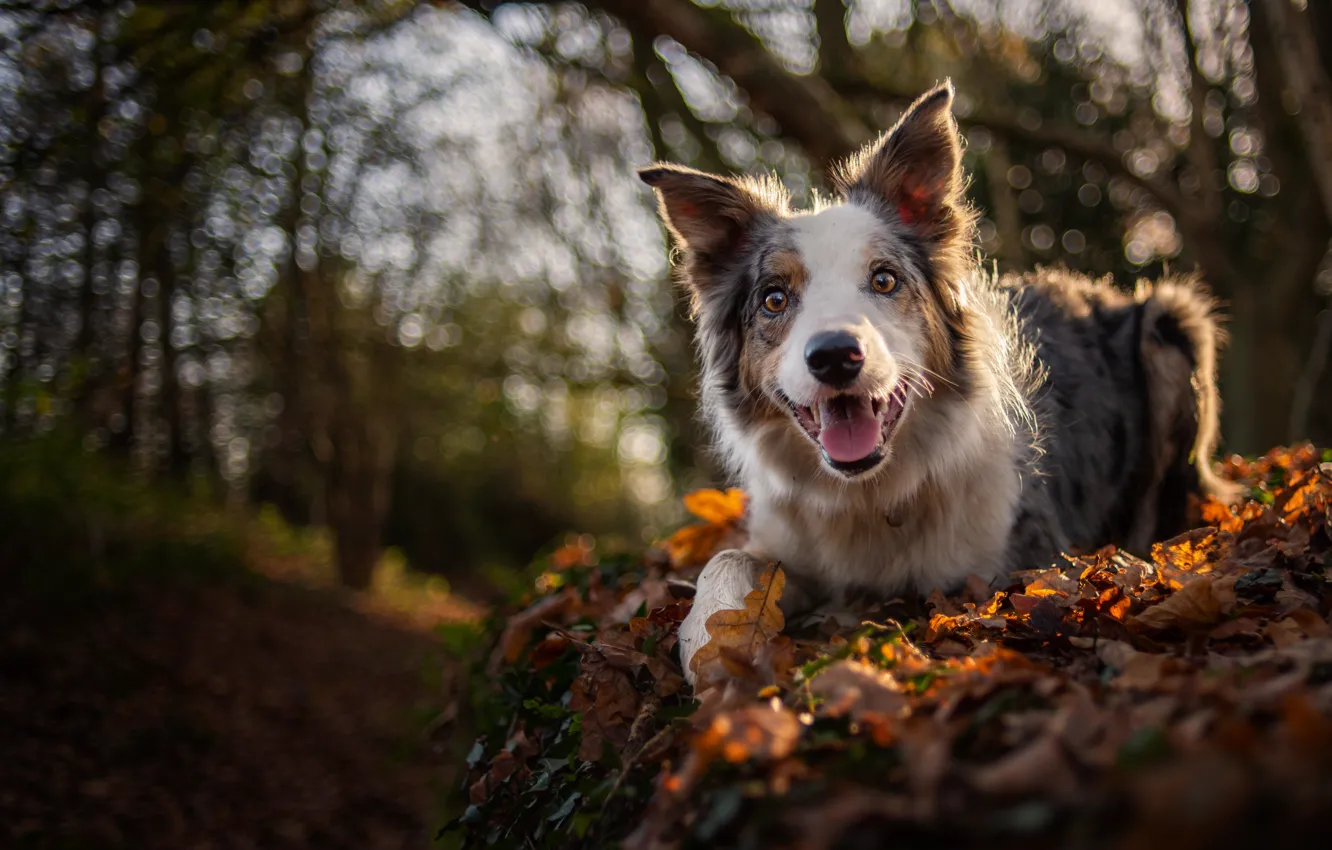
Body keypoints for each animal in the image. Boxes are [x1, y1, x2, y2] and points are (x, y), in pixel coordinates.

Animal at [636, 79, 1236, 682]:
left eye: (884, 279)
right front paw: (710, 647)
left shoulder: (1025, 555)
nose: (834, 357)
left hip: (1171, 320)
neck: (870, 493)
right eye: (775, 298)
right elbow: (727, 558)